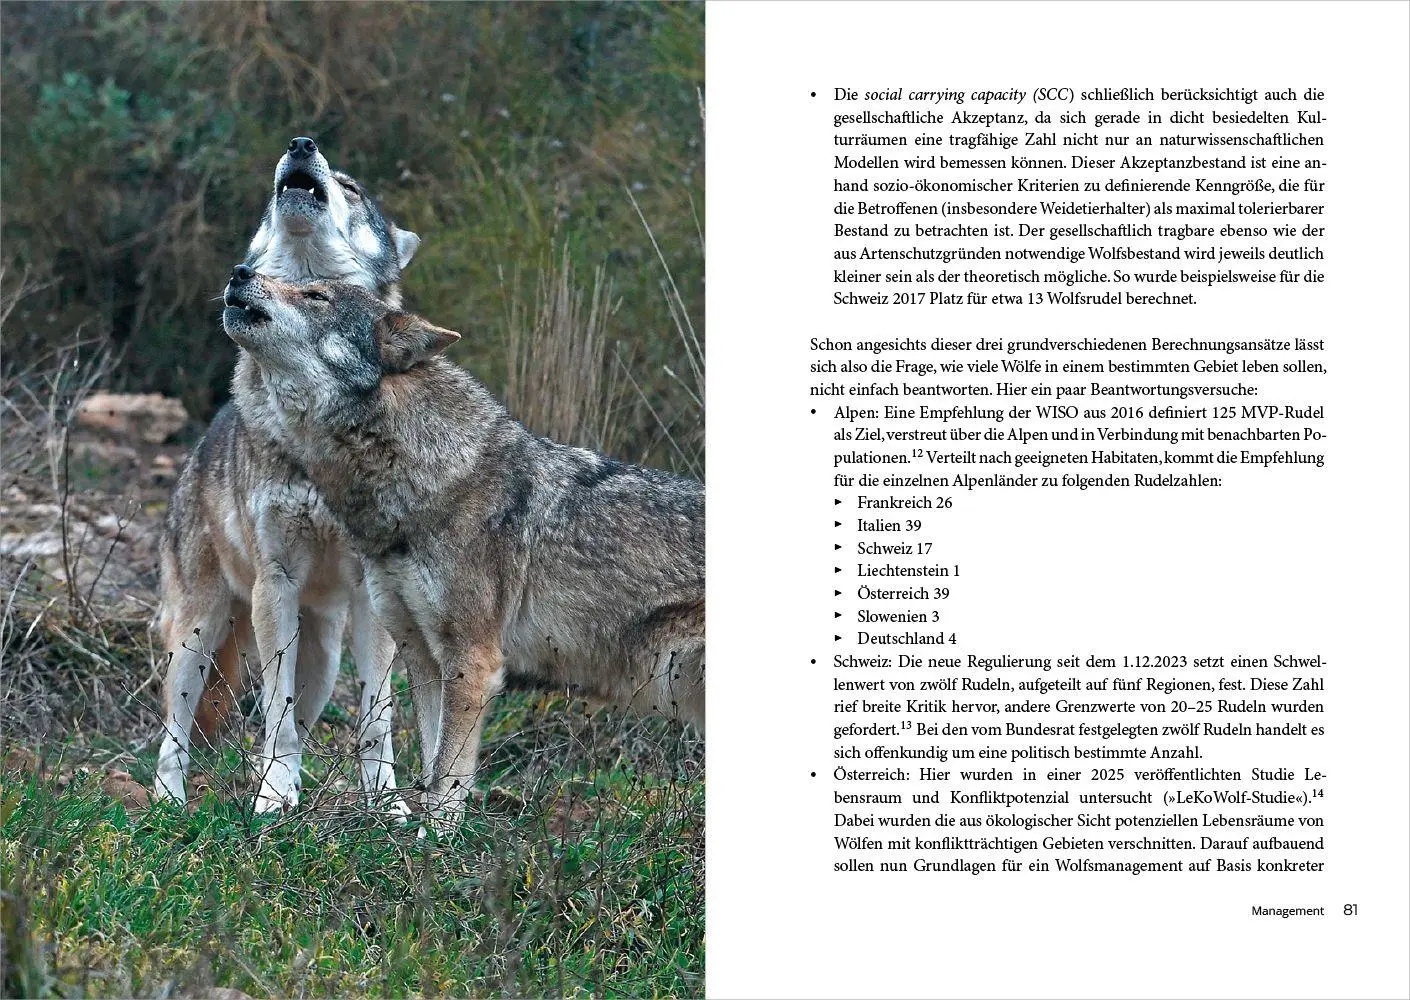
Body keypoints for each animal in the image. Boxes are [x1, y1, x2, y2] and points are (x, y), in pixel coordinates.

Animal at [153, 138, 420, 815]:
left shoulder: (372, 594)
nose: (301, 144)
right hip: (198, 633)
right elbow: (273, 709)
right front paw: (274, 798)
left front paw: (386, 804)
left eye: (351, 188)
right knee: (175, 729)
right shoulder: (275, 581)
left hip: (321, 659)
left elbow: (376, 717)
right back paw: (170, 801)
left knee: (296, 715)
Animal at [219, 269, 704, 833]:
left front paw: (434, 840)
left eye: (316, 295)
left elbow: (447, 774)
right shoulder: (424, 656)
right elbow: (432, 760)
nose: (240, 273)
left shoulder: (472, 661)